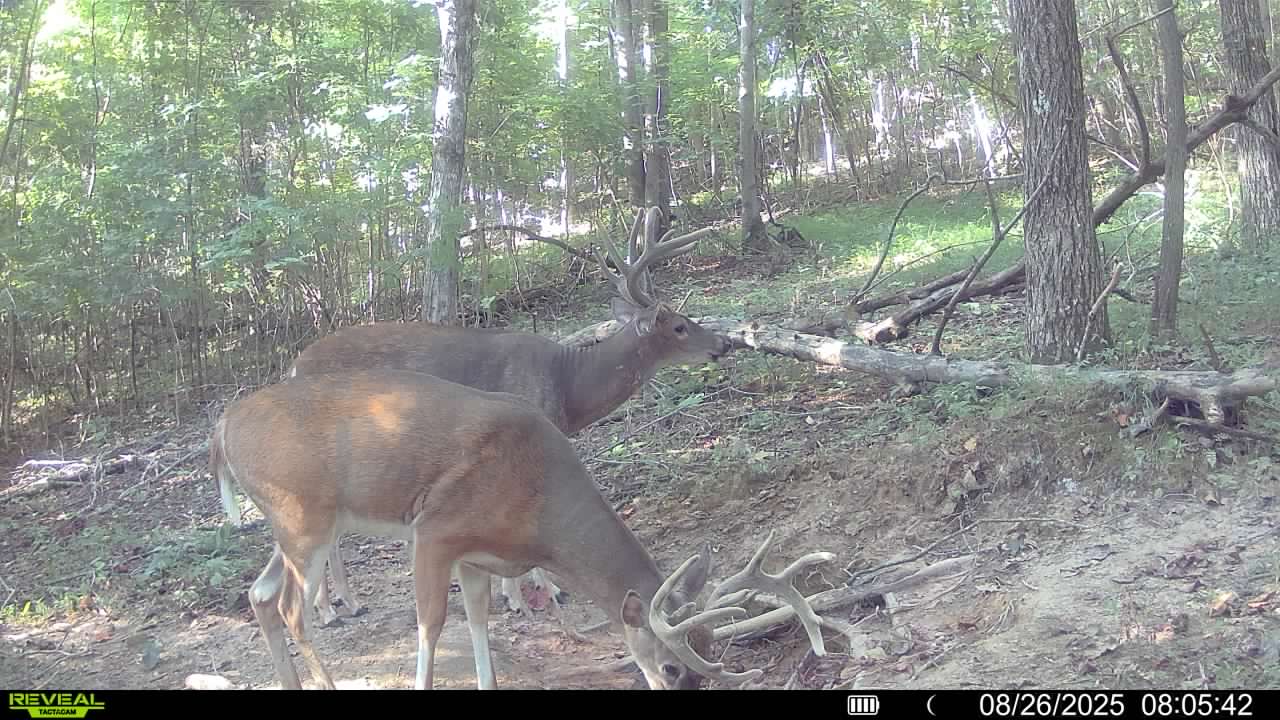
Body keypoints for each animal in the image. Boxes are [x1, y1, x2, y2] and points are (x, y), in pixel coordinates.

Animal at [210, 367, 833, 689]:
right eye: (672, 666)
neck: (539, 512)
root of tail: (222, 426)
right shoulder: (435, 529)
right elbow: (430, 626)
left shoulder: (476, 554)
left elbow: (479, 621)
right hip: (303, 515)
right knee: (291, 606)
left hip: (297, 522)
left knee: (260, 594)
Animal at [249, 206, 734, 626]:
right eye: (680, 326)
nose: (725, 343)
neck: (568, 386)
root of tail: (293, 367)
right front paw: (532, 594)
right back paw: (330, 609)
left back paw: (345, 604)